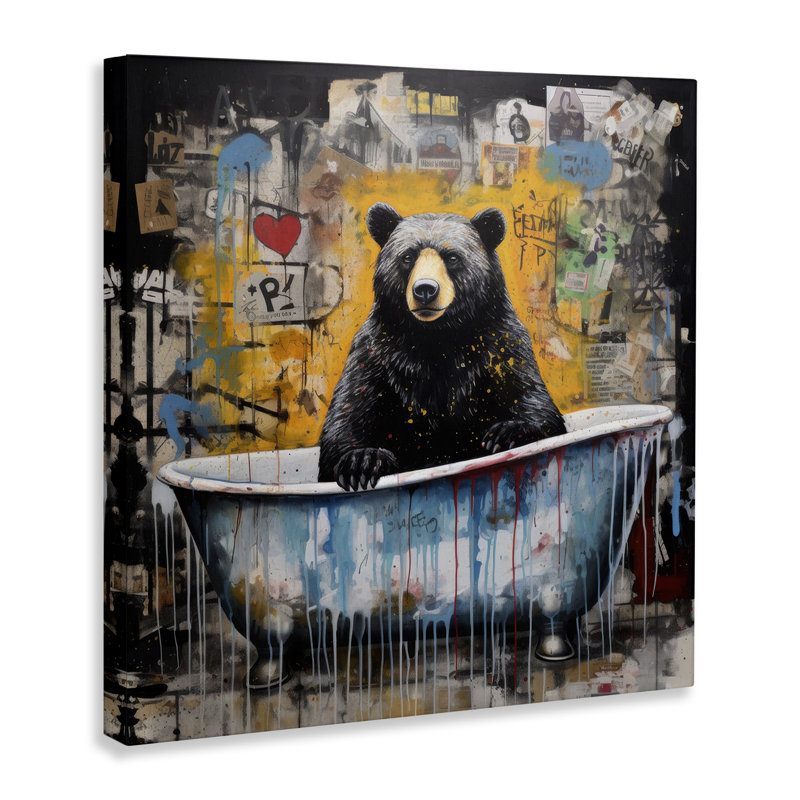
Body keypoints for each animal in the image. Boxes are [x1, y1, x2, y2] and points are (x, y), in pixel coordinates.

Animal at [318, 202, 566, 491]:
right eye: (408, 256)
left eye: (452, 257)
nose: (425, 289)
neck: (438, 337)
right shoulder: (375, 354)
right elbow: (348, 414)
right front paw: (363, 460)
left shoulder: (501, 347)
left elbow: (534, 399)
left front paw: (505, 433)